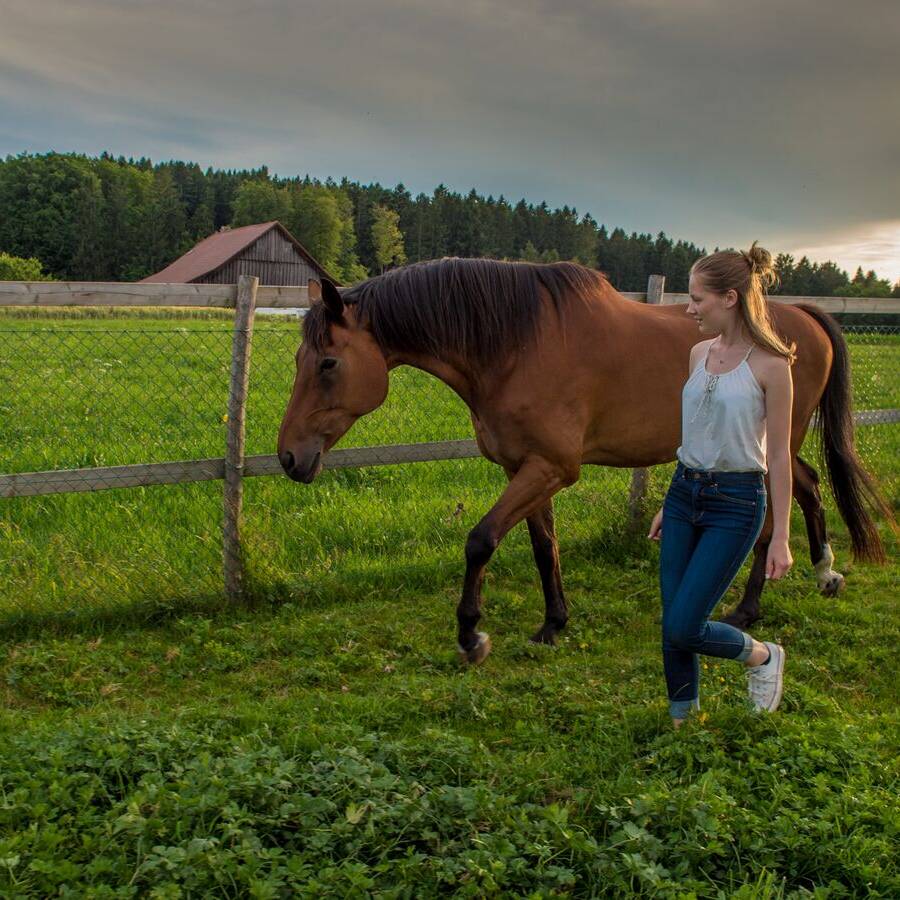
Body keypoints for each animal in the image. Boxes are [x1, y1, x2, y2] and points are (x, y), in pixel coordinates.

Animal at [276, 256, 892, 664]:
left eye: (327, 363)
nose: (288, 457)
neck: (516, 344)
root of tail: (804, 318)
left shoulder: (551, 468)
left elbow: (481, 539)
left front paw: (472, 635)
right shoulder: (524, 468)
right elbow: (541, 546)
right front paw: (554, 623)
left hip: (774, 442)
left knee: (776, 508)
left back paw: (747, 610)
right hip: (779, 444)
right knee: (808, 487)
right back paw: (824, 571)